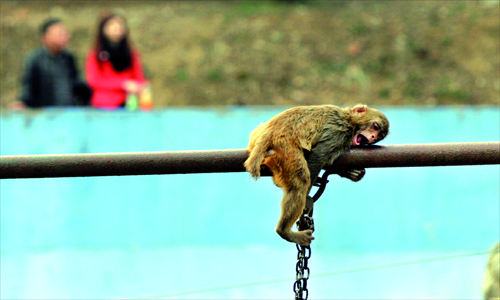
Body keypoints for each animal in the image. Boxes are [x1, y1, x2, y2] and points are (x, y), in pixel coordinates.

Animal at [244, 104, 388, 245]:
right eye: (375, 126)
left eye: (380, 135)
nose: (373, 137)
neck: (350, 119)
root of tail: (269, 133)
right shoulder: (339, 132)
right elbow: (318, 156)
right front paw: (307, 199)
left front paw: (349, 172)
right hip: (285, 147)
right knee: (301, 180)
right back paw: (284, 231)